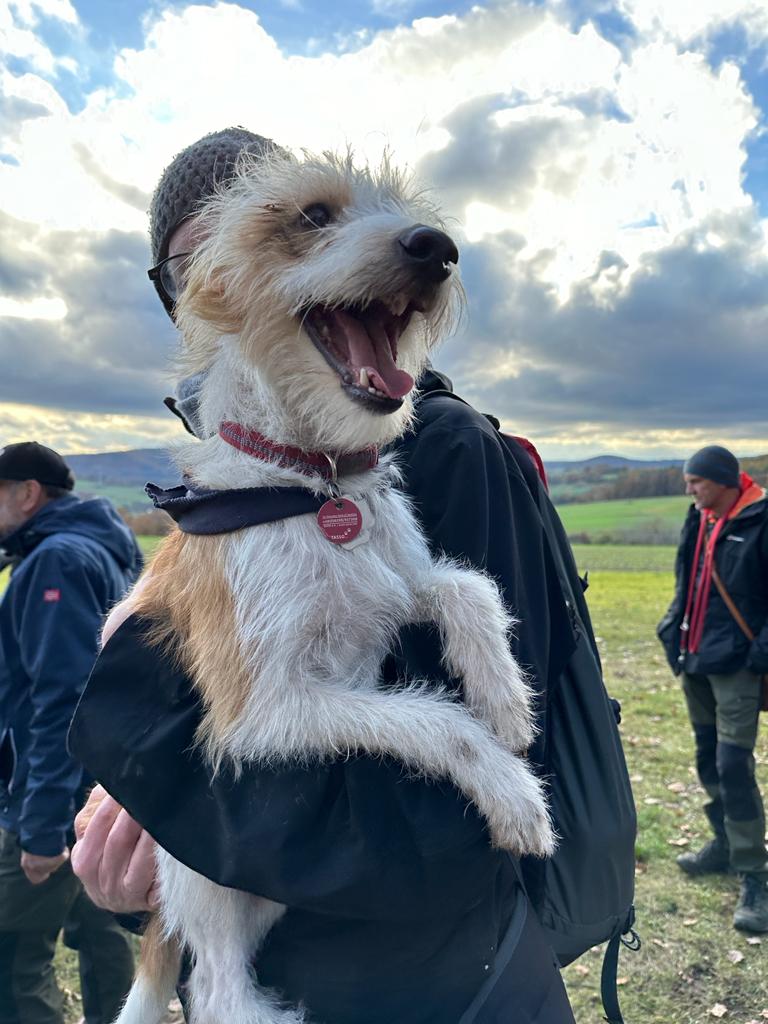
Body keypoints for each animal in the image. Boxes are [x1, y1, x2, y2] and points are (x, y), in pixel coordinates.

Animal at [107, 150, 555, 1024]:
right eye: (313, 215)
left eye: (415, 217)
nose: (436, 248)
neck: (314, 482)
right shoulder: (265, 712)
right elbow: (434, 719)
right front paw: (514, 792)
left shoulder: (399, 576)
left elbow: (464, 587)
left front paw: (506, 697)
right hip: (192, 872)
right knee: (217, 989)